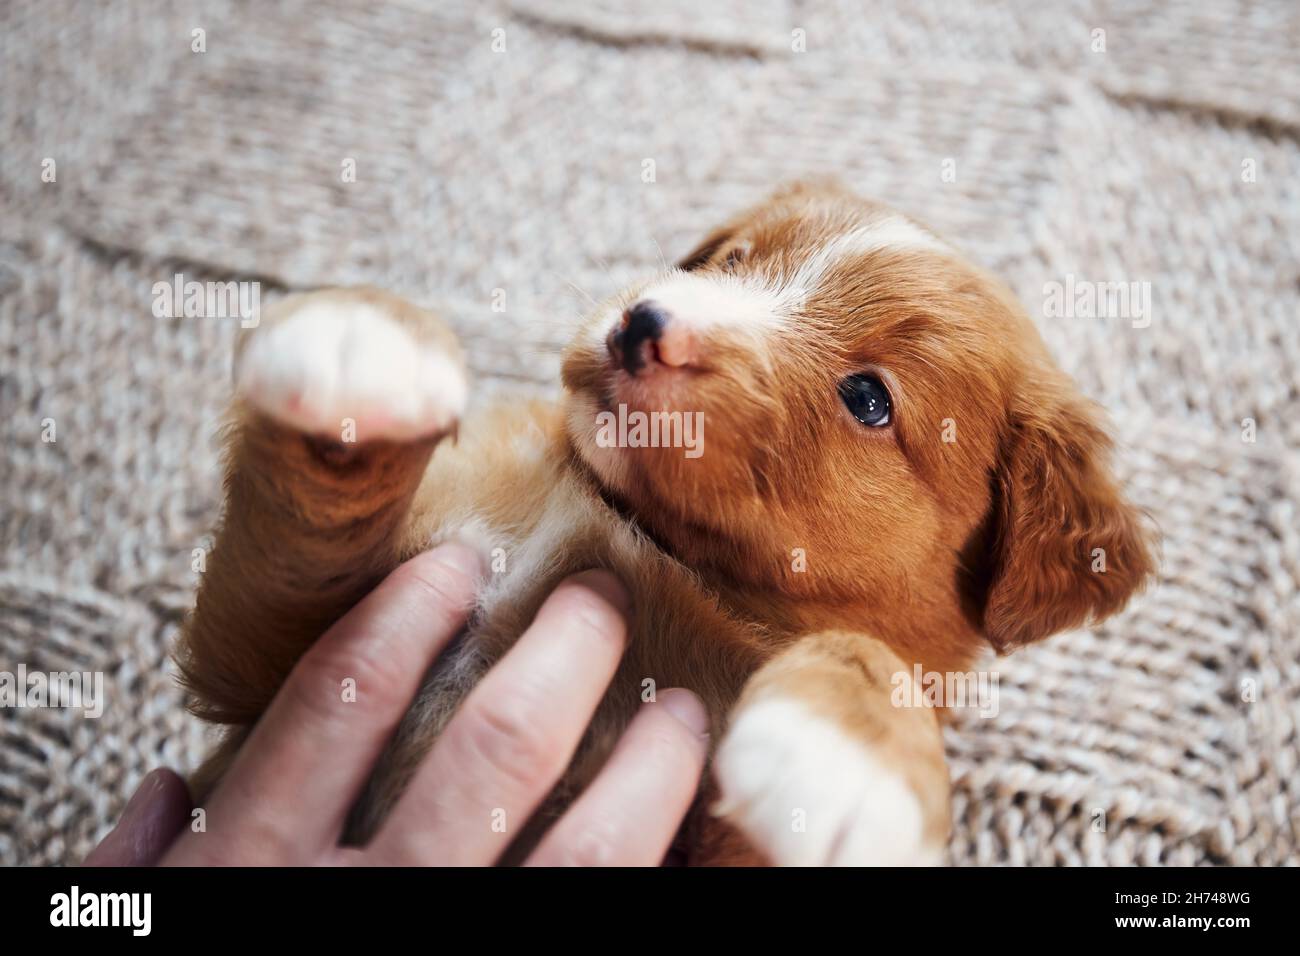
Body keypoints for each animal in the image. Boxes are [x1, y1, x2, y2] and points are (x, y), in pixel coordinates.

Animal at [175, 179, 1159, 868]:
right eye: (727, 262)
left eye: (870, 399)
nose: (642, 323)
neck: (639, 540)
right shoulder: (269, 670)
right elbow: (297, 546)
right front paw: (365, 341)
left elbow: (868, 659)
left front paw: (850, 757)